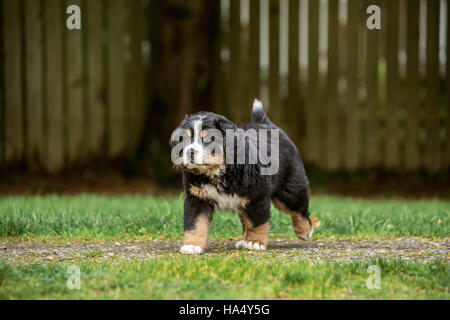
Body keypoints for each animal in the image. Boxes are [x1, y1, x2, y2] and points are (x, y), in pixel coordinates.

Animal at [169, 99, 312, 254]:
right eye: (185, 139)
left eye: (207, 139)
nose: (190, 152)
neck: (218, 172)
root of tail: (266, 124)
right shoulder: (197, 198)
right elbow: (195, 224)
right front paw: (192, 246)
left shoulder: (256, 197)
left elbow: (256, 223)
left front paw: (255, 242)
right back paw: (244, 240)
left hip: (288, 188)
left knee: (298, 208)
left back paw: (305, 231)